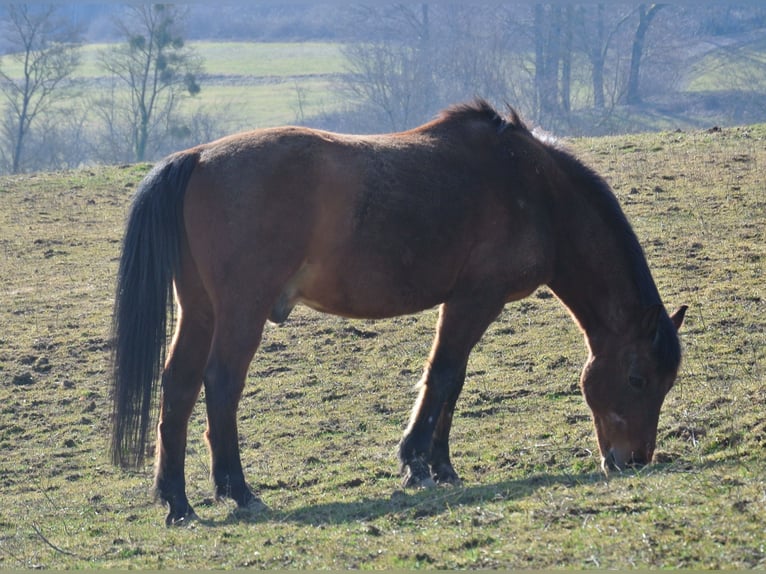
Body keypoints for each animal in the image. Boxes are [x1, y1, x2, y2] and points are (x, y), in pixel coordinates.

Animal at [109, 99, 688, 528]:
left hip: (201, 310)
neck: (534, 188)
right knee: (222, 383)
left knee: (179, 386)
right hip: (240, 311)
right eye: (637, 379)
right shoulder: (476, 298)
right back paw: (238, 489)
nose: (634, 460)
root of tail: (198, 157)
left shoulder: (467, 301)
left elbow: (452, 380)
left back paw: (177, 501)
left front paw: (442, 465)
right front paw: (417, 463)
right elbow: (444, 374)